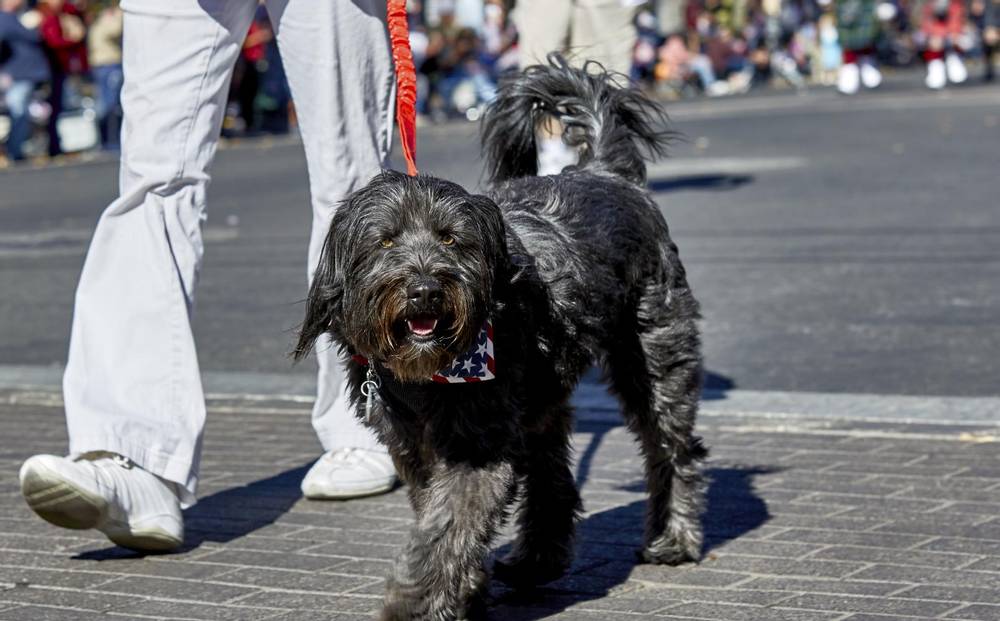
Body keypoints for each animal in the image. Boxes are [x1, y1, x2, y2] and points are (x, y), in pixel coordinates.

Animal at [292, 55, 708, 616]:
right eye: (385, 241)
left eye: (452, 239)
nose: (424, 290)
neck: (428, 377)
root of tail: (604, 170)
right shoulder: (412, 446)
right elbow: (440, 517)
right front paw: (464, 590)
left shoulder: (478, 443)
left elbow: (448, 524)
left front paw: (416, 600)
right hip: (542, 398)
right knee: (554, 476)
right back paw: (537, 560)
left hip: (654, 356)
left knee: (672, 448)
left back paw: (673, 538)